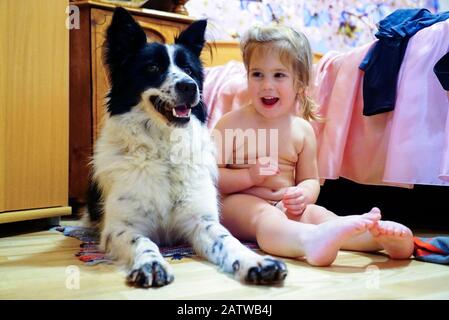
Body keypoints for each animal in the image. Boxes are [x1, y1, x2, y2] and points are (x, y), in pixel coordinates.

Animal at [85, 6, 288, 288]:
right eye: (153, 67)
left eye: (190, 71)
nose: (189, 87)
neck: (164, 148)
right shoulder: (122, 227)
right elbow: (143, 242)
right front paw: (151, 264)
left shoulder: (201, 221)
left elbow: (229, 241)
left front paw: (257, 262)